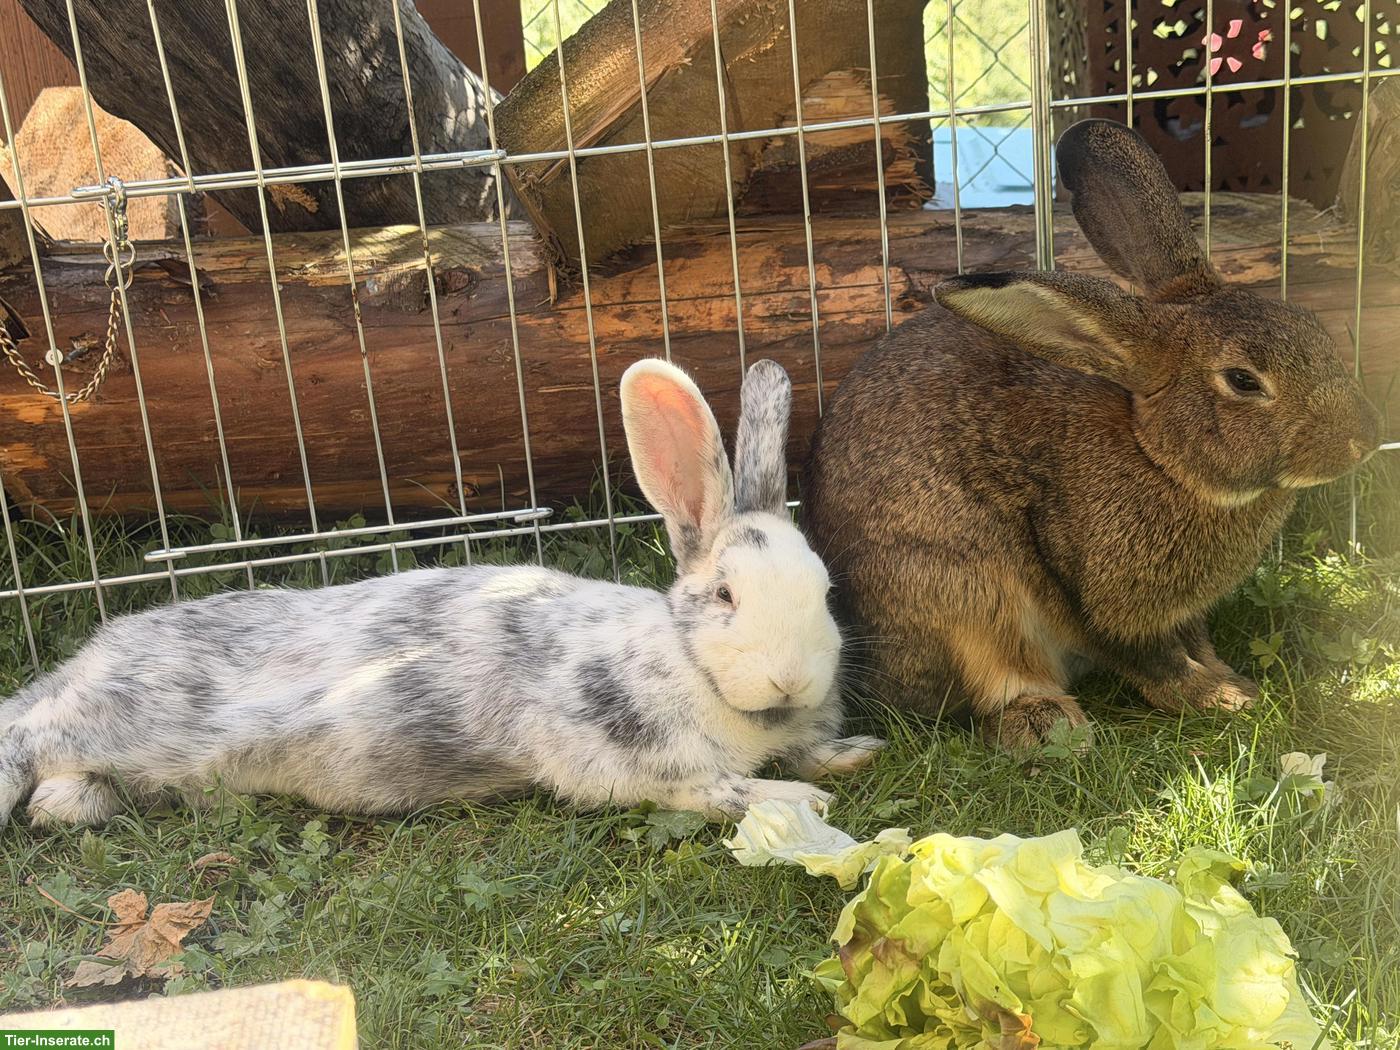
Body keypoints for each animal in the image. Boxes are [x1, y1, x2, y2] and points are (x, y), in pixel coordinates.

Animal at [0, 358, 884, 829]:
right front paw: (801, 798)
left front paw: (850, 753)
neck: (692, 669)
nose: (792, 678)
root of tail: (93, 655)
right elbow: (721, 790)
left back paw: (68, 804)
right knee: (27, 730)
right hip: (129, 714)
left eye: (825, 589)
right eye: (726, 595)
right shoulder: (626, 762)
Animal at [802, 118, 1382, 750]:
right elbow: (1151, 658)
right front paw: (1221, 700)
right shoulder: (1093, 595)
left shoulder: (1181, 612)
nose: (1365, 437)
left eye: (1312, 326)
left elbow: (1196, 642)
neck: (1159, 458)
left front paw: (1230, 679)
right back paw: (1046, 722)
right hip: (956, 595)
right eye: (1243, 380)